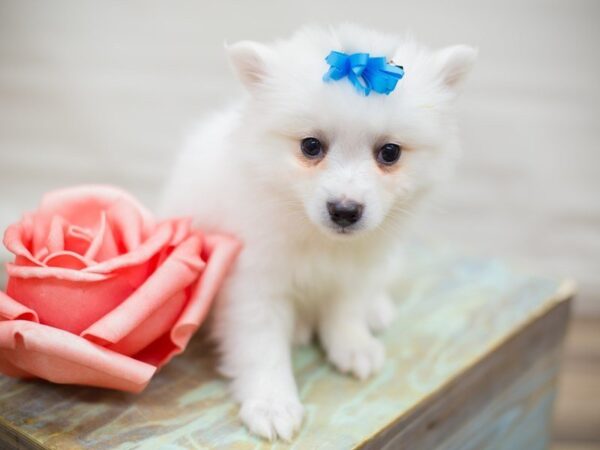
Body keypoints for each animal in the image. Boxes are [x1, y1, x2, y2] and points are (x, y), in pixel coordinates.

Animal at [158, 23, 474, 440]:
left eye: (390, 152)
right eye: (310, 146)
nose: (344, 211)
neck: (317, 238)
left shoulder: (355, 269)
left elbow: (345, 309)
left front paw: (353, 345)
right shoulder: (254, 283)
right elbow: (262, 347)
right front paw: (272, 403)